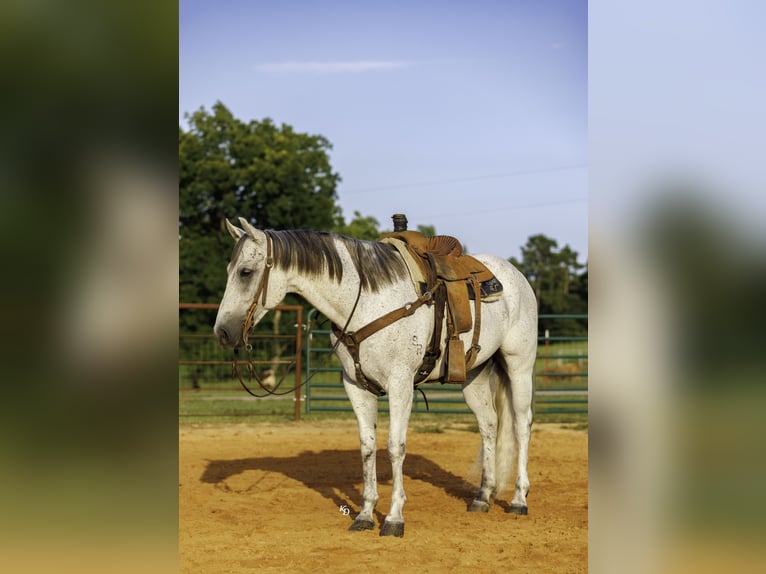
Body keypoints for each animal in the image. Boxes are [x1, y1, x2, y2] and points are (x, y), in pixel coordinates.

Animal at [213, 218, 537, 537]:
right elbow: (367, 447)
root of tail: (516, 276)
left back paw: (519, 500)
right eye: (229, 271)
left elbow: (395, 447)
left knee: (521, 425)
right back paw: (482, 496)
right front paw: (365, 514)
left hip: (519, 367)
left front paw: (394, 518)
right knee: (489, 425)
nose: (223, 332)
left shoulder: (400, 384)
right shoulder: (356, 386)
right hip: (474, 376)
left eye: (245, 272)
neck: (367, 303)